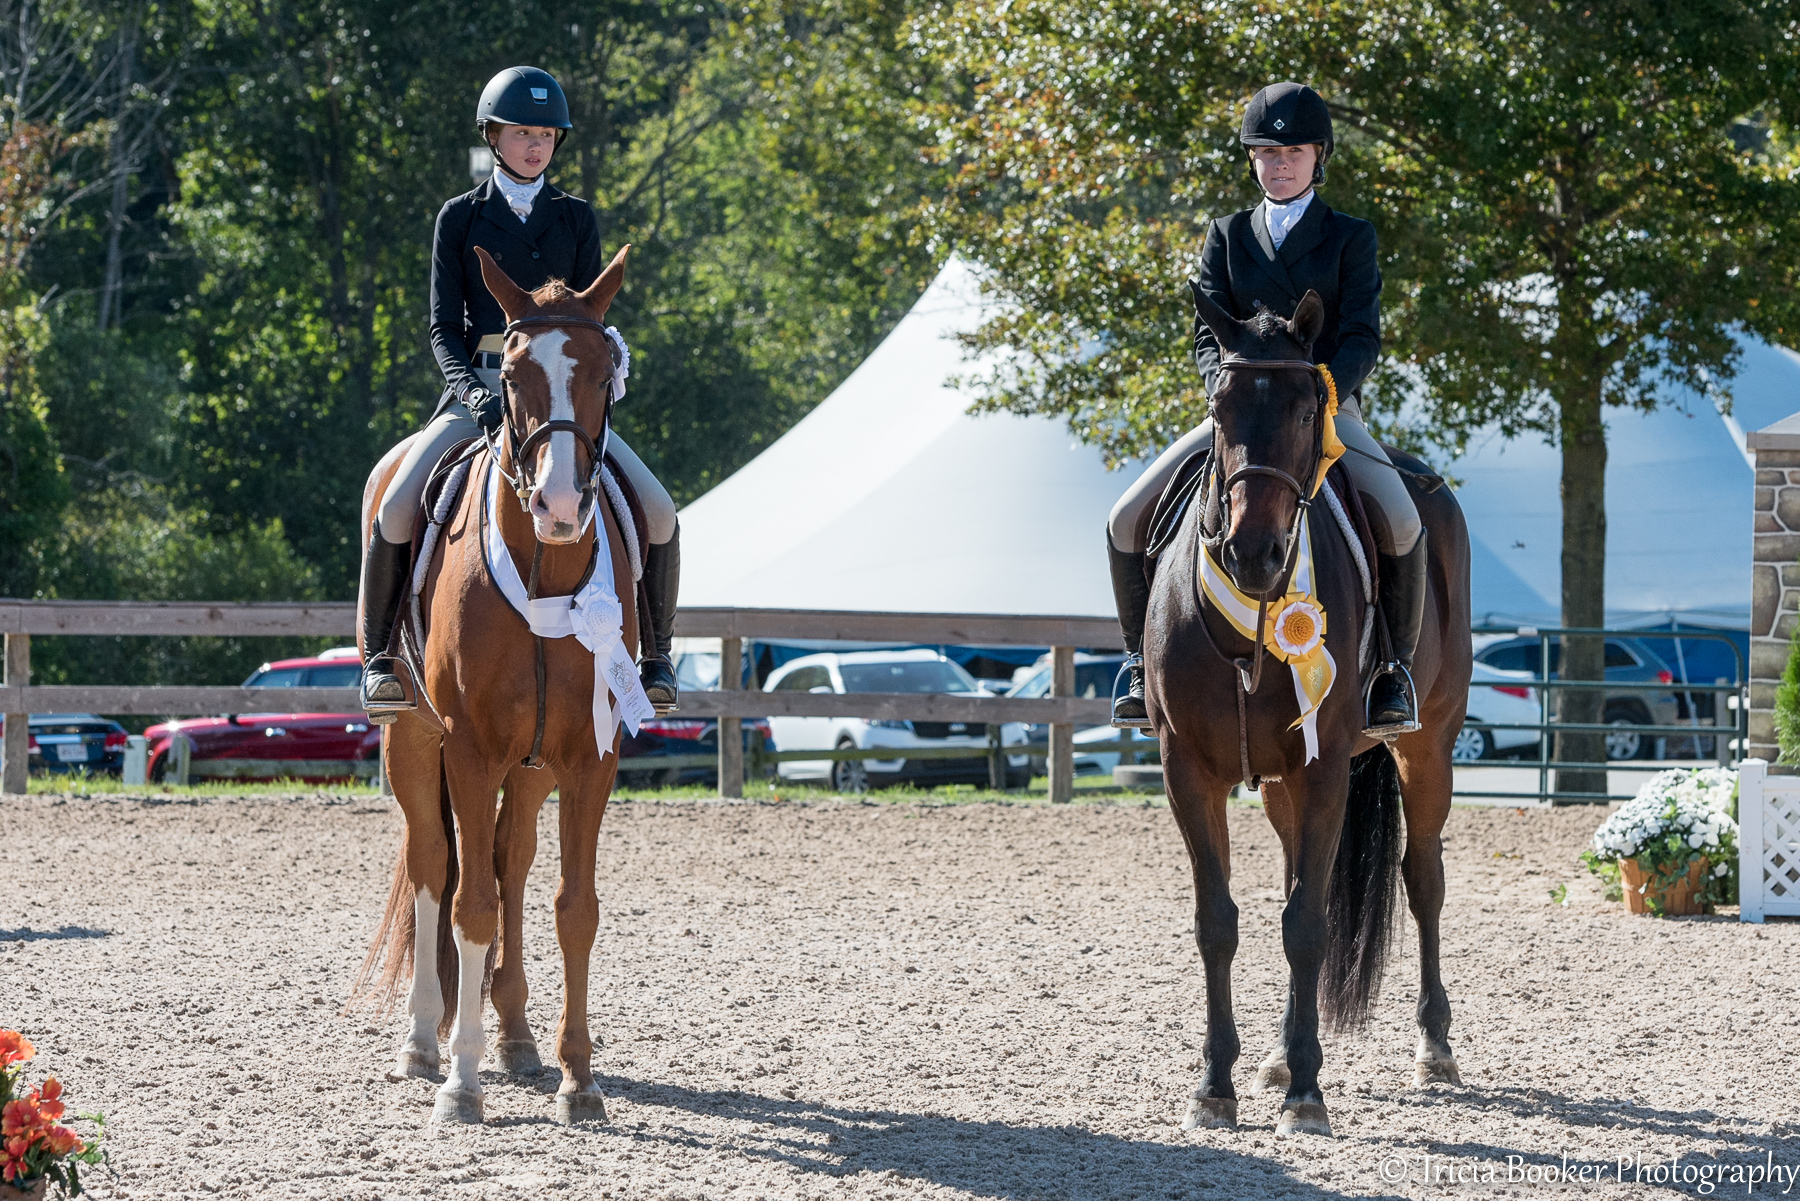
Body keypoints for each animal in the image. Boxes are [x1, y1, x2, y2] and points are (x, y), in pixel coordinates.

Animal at [352, 241, 640, 1130]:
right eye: (509, 374)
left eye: (601, 371)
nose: (559, 503)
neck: (545, 570)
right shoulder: (471, 752)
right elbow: (467, 901)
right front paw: (460, 1081)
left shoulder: (588, 760)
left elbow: (573, 908)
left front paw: (579, 1080)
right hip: (414, 742)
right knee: (432, 867)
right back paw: (425, 1042)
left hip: (533, 764)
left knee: (510, 864)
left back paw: (514, 1034)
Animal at [1144, 286, 1468, 1145]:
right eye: (1219, 406)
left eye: (1302, 408)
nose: (1254, 555)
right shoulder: (1187, 768)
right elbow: (1218, 921)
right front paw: (1215, 1085)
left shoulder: (1325, 767)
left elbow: (1306, 925)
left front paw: (1306, 1095)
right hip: (1283, 783)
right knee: (1298, 872)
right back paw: (1281, 1055)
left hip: (1429, 747)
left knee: (1422, 877)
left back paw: (1433, 1046)